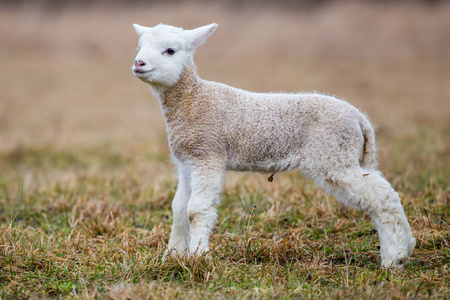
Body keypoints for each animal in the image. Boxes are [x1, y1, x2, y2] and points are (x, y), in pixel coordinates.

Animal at [131, 22, 414, 268]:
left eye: (170, 50)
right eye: (139, 46)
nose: (138, 63)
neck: (194, 99)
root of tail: (360, 119)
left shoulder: (208, 154)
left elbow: (196, 210)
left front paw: (199, 258)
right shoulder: (186, 161)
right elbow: (178, 209)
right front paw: (172, 257)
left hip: (332, 154)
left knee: (382, 197)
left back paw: (394, 259)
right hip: (344, 155)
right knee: (382, 188)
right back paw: (407, 246)